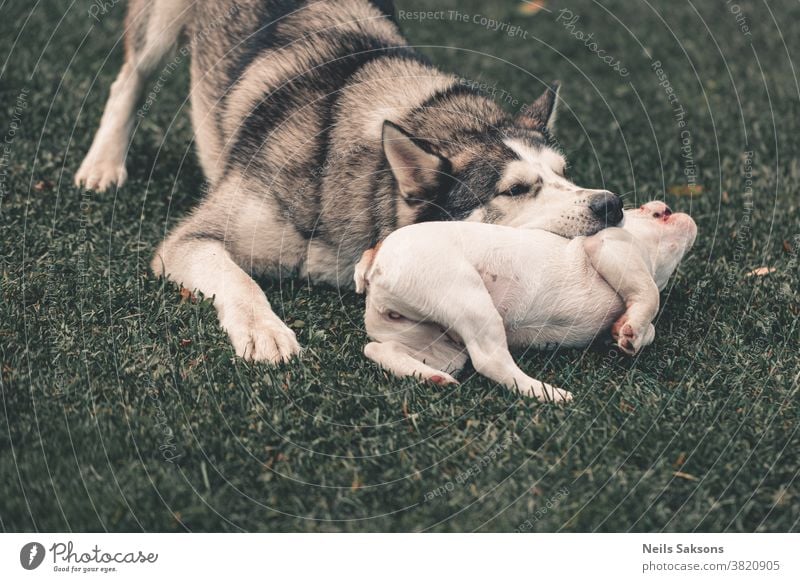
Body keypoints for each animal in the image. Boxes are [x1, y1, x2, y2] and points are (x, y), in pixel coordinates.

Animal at [76, 1, 624, 364]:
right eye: (514, 190)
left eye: (563, 172)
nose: (611, 205)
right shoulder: (191, 240)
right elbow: (240, 279)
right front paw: (265, 330)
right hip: (160, 25)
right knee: (129, 78)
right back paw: (103, 163)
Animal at [354, 201, 696, 402]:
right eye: (656, 212)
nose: (668, 206)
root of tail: (374, 258)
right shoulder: (610, 247)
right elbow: (649, 293)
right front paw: (634, 327)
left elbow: (647, 322)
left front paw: (629, 333)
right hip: (467, 297)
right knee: (489, 361)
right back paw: (548, 393)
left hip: (431, 340)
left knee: (380, 349)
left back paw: (432, 378)